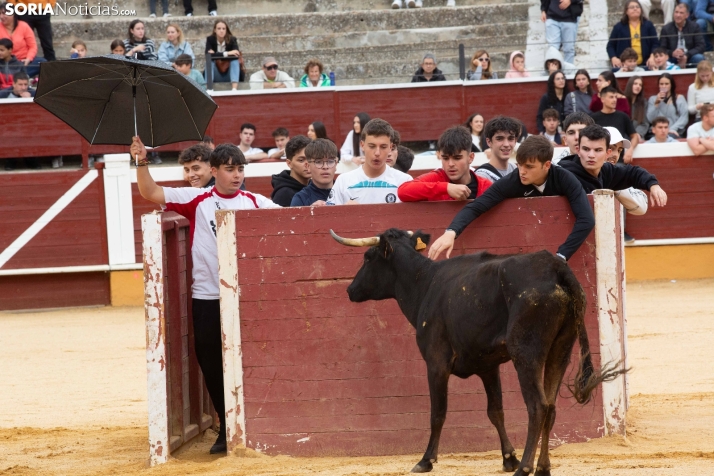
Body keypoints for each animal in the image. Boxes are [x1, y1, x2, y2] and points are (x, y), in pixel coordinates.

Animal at [330, 229, 624, 474]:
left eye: (368, 257)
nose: (350, 290)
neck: (425, 284)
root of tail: (555, 267)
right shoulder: (488, 367)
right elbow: (495, 411)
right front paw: (508, 458)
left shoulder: (436, 363)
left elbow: (438, 412)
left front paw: (426, 460)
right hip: (560, 350)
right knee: (550, 408)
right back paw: (542, 468)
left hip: (526, 354)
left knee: (537, 406)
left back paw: (525, 469)